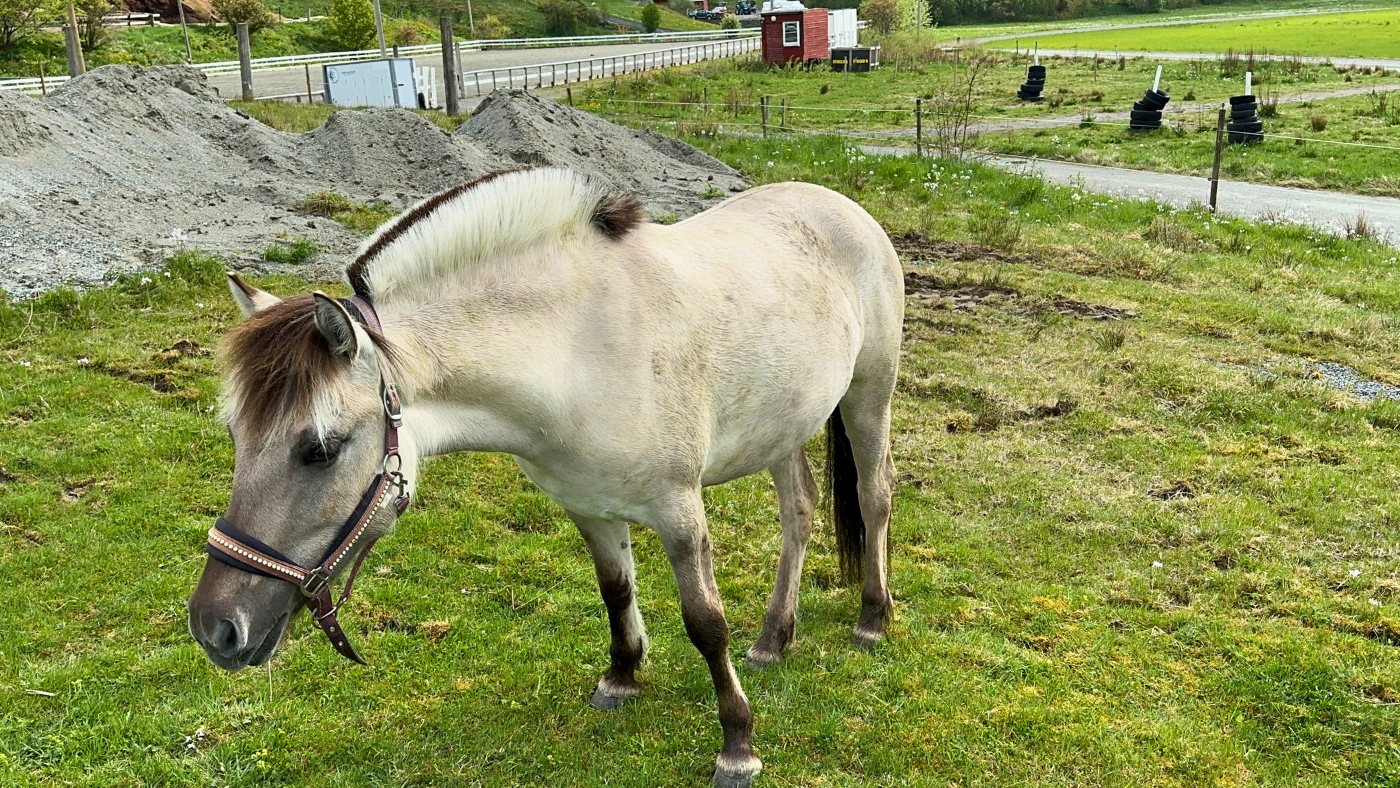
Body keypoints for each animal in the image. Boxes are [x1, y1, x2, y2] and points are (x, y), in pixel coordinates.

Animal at [187, 167, 903, 787]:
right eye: (235, 436)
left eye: (320, 449)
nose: (215, 629)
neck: (576, 351)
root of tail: (842, 207)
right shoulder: (589, 507)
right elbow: (616, 591)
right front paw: (621, 678)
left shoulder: (678, 511)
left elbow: (705, 623)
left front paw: (738, 745)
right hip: (783, 425)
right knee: (800, 512)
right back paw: (774, 638)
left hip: (869, 395)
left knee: (874, 497)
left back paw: (872, 617)